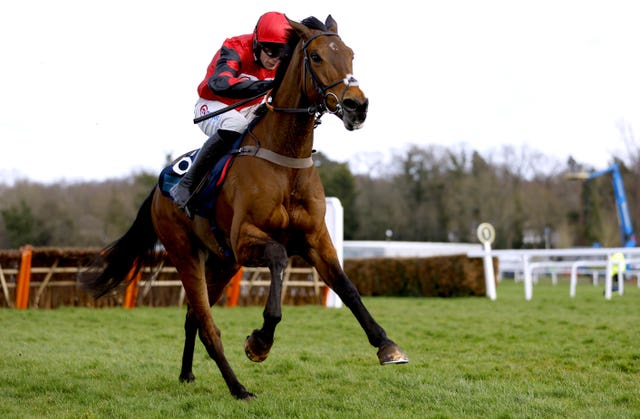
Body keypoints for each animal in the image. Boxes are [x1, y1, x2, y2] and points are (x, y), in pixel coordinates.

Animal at [82, 15, 408, 400]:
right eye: (315, 57)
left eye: (351, 54)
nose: (357, 106)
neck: (285, 159)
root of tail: (160, 189)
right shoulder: (247, 240)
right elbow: (280, 260)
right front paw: (260, 342)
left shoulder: (316, 239)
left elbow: (347, 287)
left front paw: (387, 345)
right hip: (186, 253)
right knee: (207, 324)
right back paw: (238, 388)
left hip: (223, 262)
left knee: (193, 317)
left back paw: (187, 374)